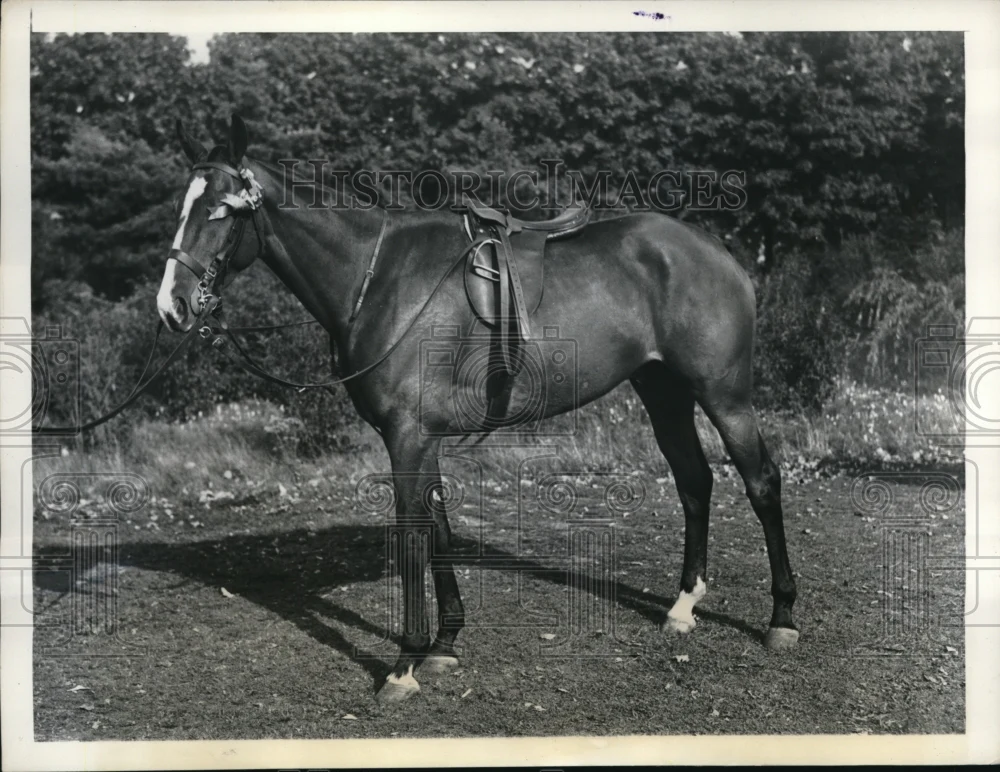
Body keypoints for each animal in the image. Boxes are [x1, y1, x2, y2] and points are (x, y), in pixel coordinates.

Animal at [157, 114, 798, 703]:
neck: (379, 278)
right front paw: (443, 645)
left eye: (222, 211)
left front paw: (404, 665)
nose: (172, 307)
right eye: (182, 208)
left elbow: (413, 536)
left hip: (723, 394)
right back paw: (683, 606)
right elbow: (438, 529)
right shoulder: (422, 437)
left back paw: (782, 619)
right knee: (694, 481)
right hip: (663, 390)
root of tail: (715, 251)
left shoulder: (407, 436)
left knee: (761, 481)